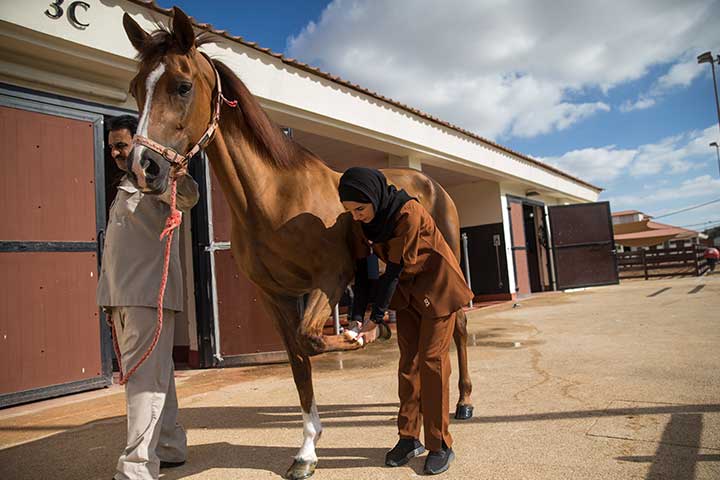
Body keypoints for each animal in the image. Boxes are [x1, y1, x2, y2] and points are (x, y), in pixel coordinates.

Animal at [121, 6, 476, 476]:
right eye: (134, 89)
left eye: (182, 85)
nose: (144, 169)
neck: (276, 199)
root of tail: (431, 183)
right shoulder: (276, 296)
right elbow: (298, 361)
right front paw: (307, 450)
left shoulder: (329, 281)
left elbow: (313, 340)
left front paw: (360, 337)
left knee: (458, 328)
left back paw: (464, 402)